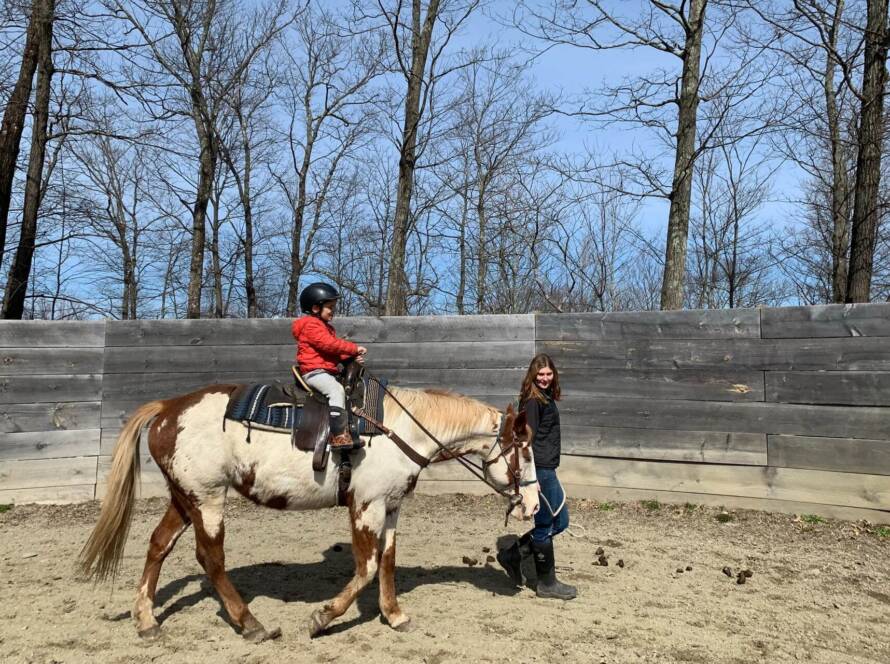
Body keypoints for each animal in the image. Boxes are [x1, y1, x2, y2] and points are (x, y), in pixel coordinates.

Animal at [78, 384, 536, 644]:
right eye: (526, 452)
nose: (533, 506)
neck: (396, 431)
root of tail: (168, 407)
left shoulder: (391, 506)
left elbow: (387, 562)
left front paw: (394, 615)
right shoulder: (365, 505)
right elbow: (367, 567)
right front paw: (322, 618)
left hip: (184, 497)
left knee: (158, 545)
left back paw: (146, 621)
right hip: (207, 498)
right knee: (211, 558)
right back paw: (251, 624)